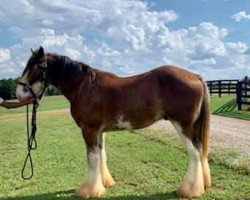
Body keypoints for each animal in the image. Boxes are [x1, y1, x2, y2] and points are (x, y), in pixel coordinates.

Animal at [16, 47, 211, 198]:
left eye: (36, 66)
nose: (19, 92)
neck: (83, 86)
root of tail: (195, 76)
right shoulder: (99, 131)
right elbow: (102, 155)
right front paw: (104, 183)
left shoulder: (89, 129)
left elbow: (92, 157)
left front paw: (89, 191)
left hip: (183, 125)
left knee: (194, 152)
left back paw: (189, 190)